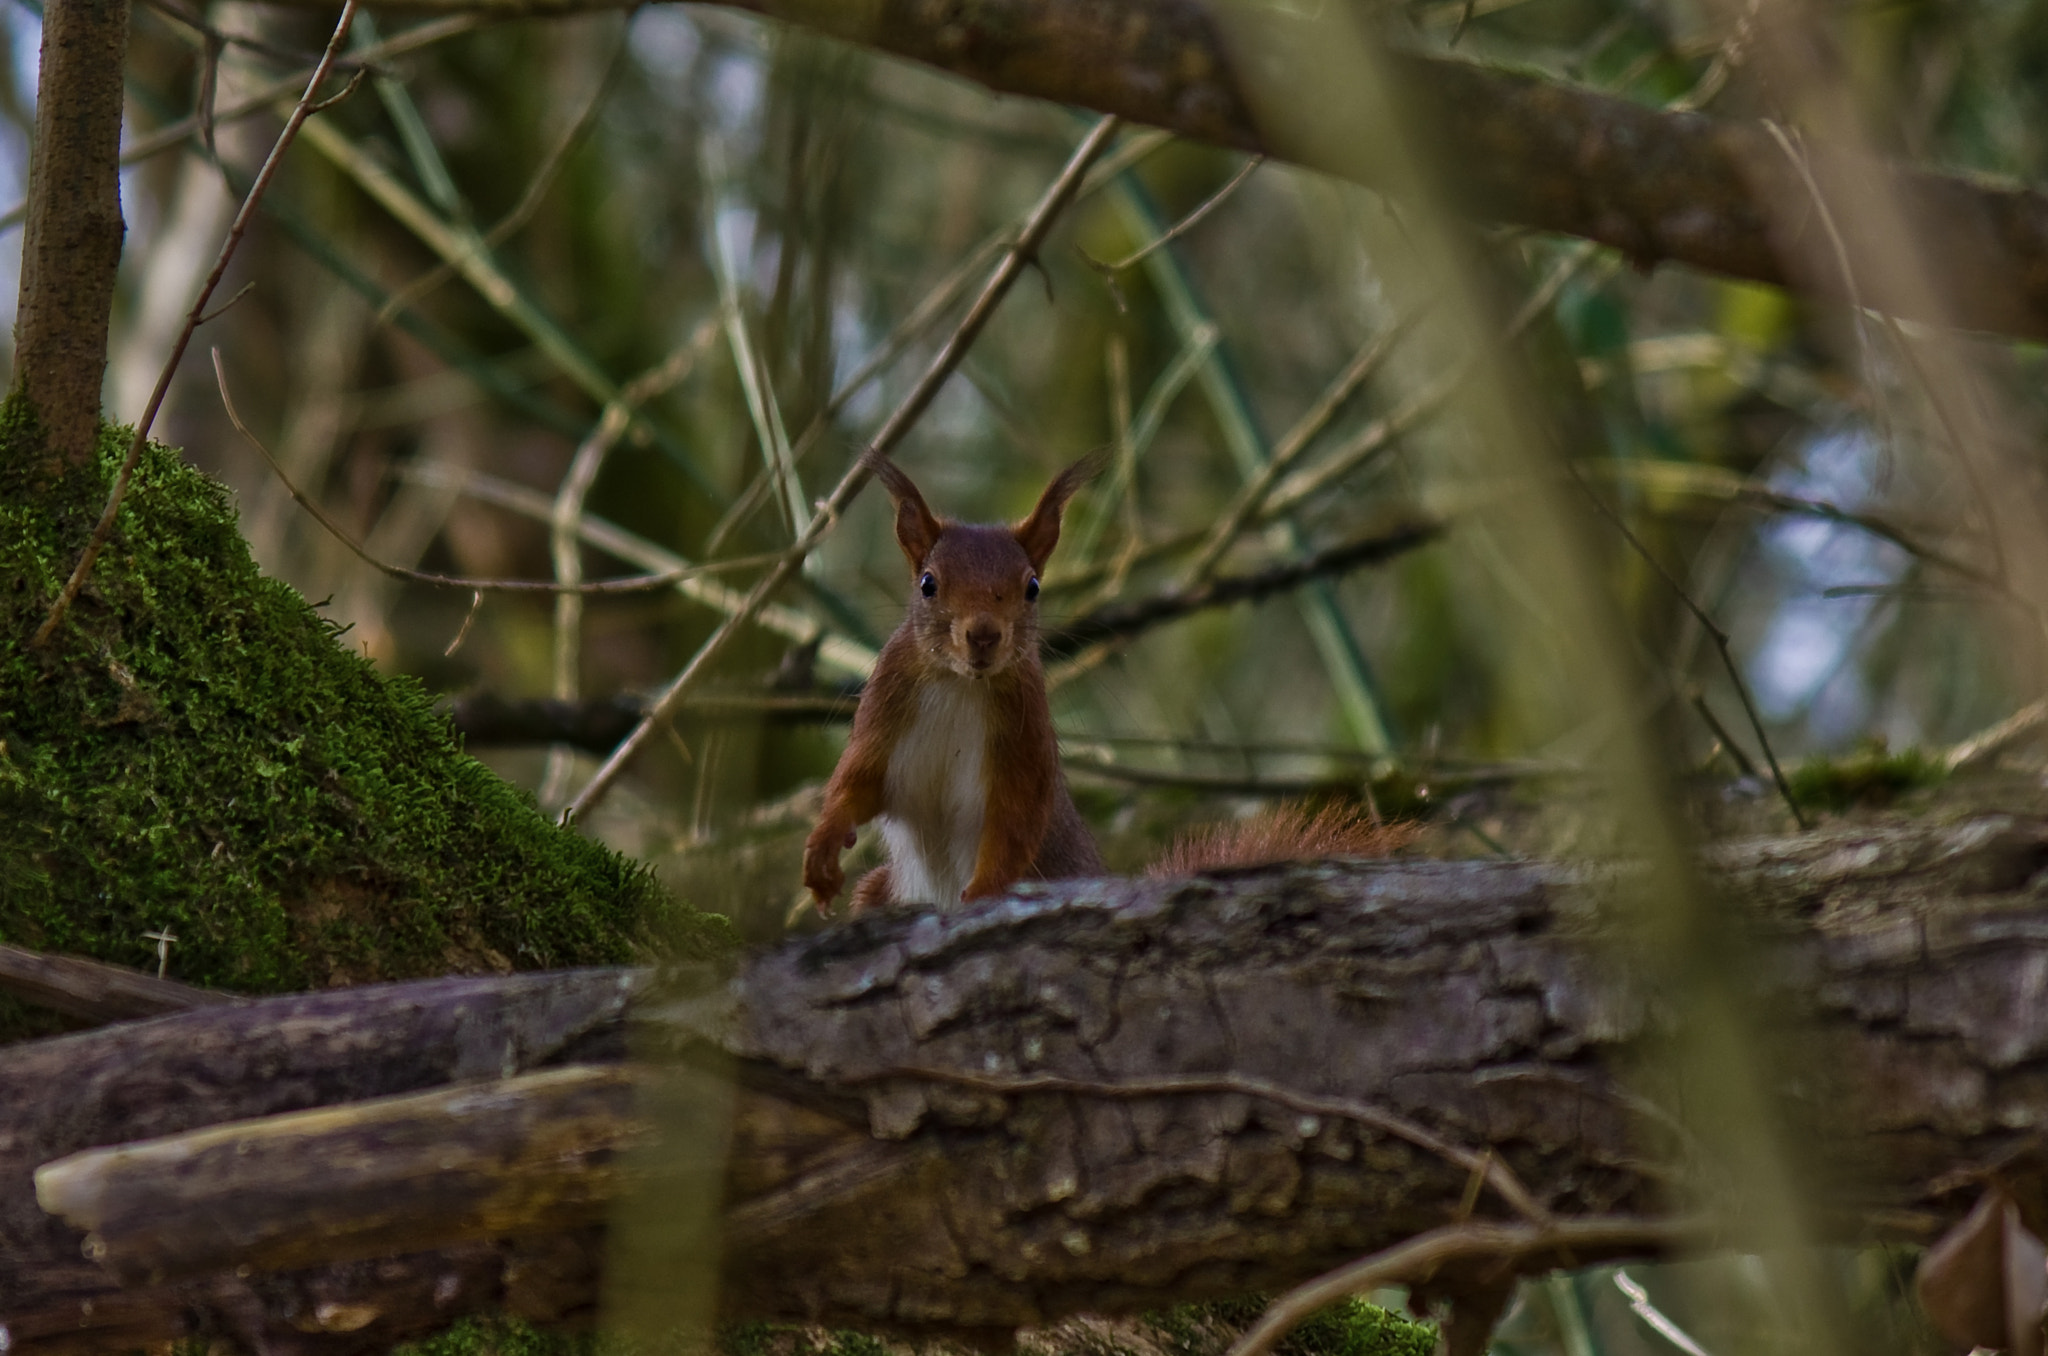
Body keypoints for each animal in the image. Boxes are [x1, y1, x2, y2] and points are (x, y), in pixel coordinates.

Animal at [798, 456, 1409, 913]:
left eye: (1033, 587)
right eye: (927, 583)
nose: (983, 635)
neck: (959, 683)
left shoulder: (1024, 743)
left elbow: (1015, 822)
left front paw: (984, 893)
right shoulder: (886, 707)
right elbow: (856, 783)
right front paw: (823, 849)